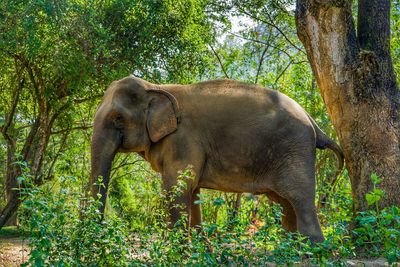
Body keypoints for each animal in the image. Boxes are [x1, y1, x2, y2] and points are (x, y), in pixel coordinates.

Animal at [90, 75, 344, 243]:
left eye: (118, 118)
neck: (155, 87)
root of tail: (312, 122)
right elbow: (191, 190)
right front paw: (198, 245)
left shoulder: (183, 138)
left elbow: (176, 187)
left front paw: (176, 247)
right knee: (285, 202)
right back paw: (289, 246)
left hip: (294, 149)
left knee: (299, 198)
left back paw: (312, 249)